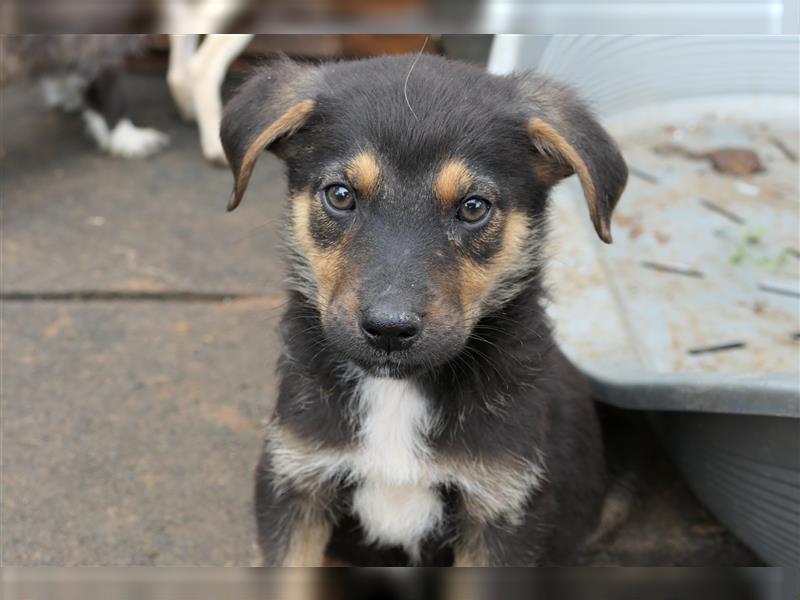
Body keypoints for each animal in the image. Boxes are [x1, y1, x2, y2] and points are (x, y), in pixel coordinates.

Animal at [222, 54, 628, 564]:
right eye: (340, 195)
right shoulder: (294, 481)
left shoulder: (505, 512)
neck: (396, 391)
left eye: (474, 207)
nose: (389, 330)